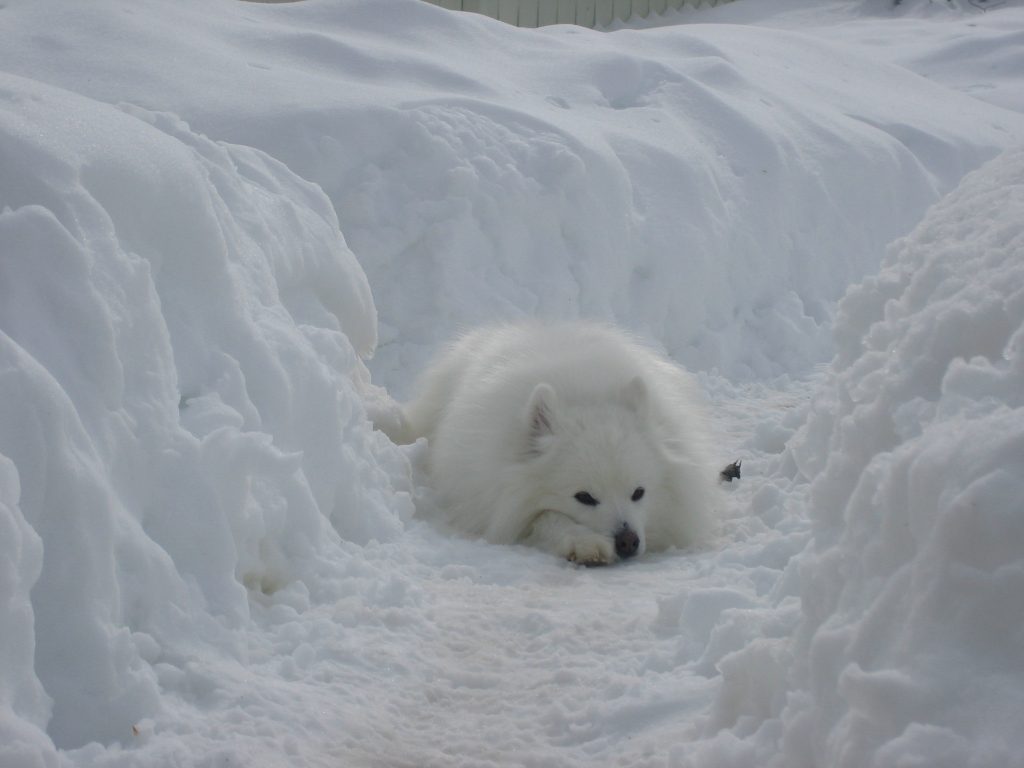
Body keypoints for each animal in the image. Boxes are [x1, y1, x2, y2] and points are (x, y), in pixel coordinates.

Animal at [376, 321, 720, 561]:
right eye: (584, 497)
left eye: (638, 493)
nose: (628, 541)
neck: (583, 393)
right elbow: (547, 516)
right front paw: (584, 543)